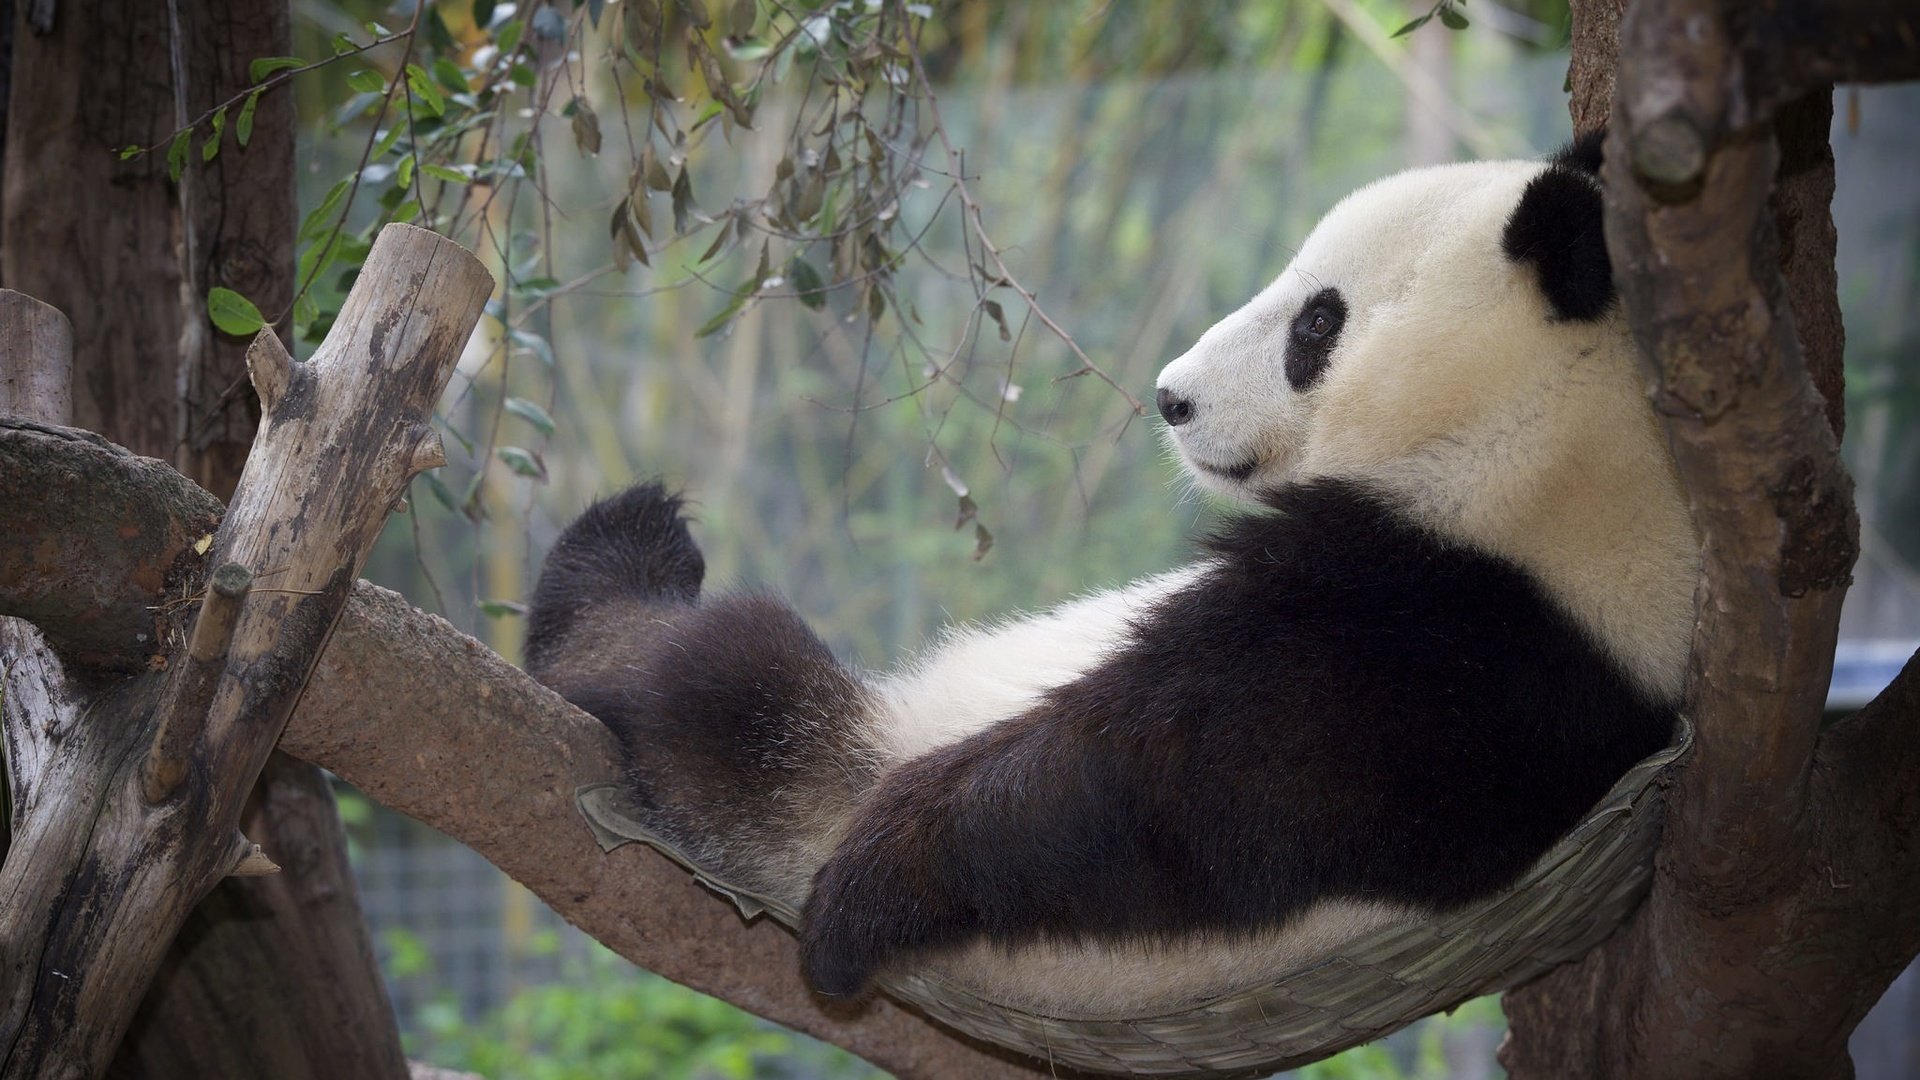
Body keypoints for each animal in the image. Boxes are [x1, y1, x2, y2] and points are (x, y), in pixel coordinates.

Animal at [526, 132, 1697, 1006]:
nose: (1172, 397)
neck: (1546, 444)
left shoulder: (1450, 642)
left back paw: (621, 578)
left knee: (724, 681)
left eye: (1319, 322)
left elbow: (1161, 790)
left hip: (829, 758)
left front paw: (874, 888)